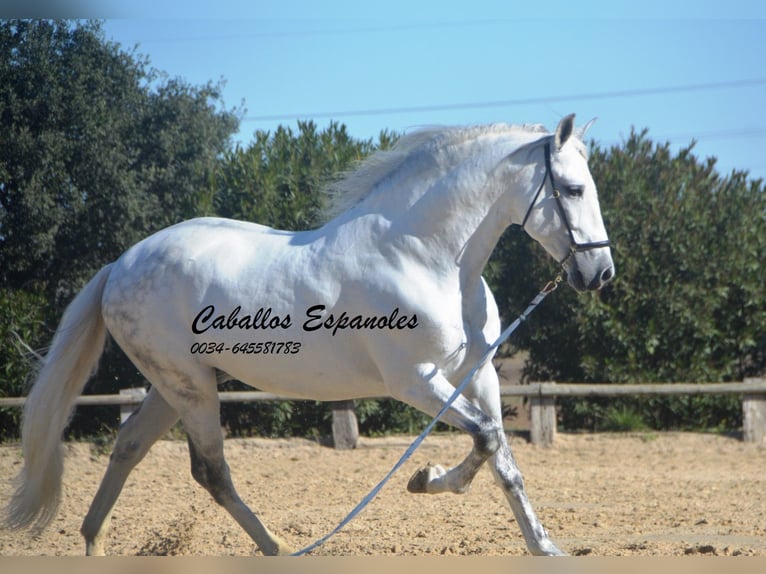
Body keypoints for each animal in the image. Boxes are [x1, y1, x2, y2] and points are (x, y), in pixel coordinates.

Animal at [4, 113, 616, 560]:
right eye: (571, 188)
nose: (600, 273)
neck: (425, 255)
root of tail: (120, 265)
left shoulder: (479, 374)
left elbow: (504, 459)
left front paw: (545, 548)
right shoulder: (415, 381)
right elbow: (486, 439)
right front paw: (424, 478)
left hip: (175, 384)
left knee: (129, 446)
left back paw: (96, 544)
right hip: (191, 387)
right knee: (211, 471)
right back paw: (279, 548)